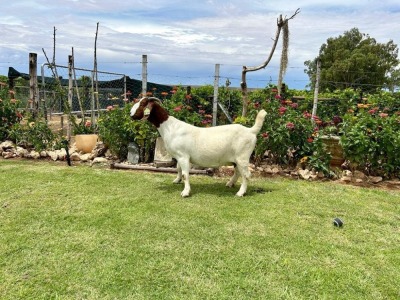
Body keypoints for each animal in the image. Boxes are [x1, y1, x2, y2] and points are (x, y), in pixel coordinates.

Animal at [130, 96, 268, 198]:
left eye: (142, 104)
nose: (131, 114)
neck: (170, 127)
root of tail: (251, 131)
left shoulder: (183, 156)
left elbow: (185, 174)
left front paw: (185, 192)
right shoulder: (180, 155)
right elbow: (178, 169)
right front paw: (177, 181)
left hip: (242, 156)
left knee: (246, 174)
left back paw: (240, 193)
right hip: (236, 158)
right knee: (238, 171)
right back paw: (229, 184)